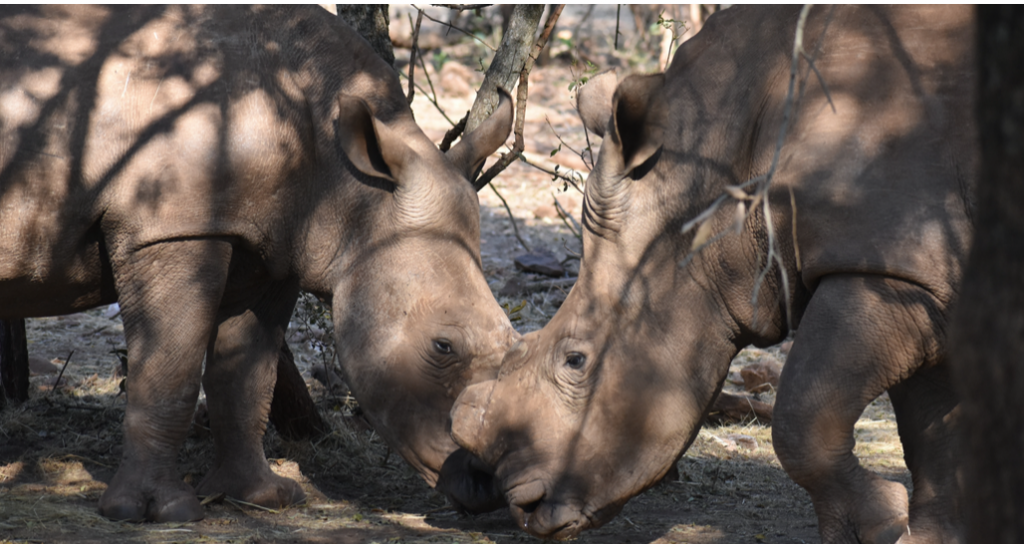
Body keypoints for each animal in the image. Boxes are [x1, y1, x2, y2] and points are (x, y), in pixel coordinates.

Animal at [0, 5, 512, 524]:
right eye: (442, 346)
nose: (488, 487)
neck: (351, 186)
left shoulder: (275, 247)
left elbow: (245, 379)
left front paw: (262, 498)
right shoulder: (172, 226)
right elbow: (169, 368)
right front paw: (156, 512)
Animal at [450, 6, 974, 540]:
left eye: (576, 361)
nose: (526, 509)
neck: (712, 192)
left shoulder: (892, 271)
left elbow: (802, 414)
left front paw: (878, 528)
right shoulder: (922, 280)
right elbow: (931, 431)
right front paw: (930, 535)